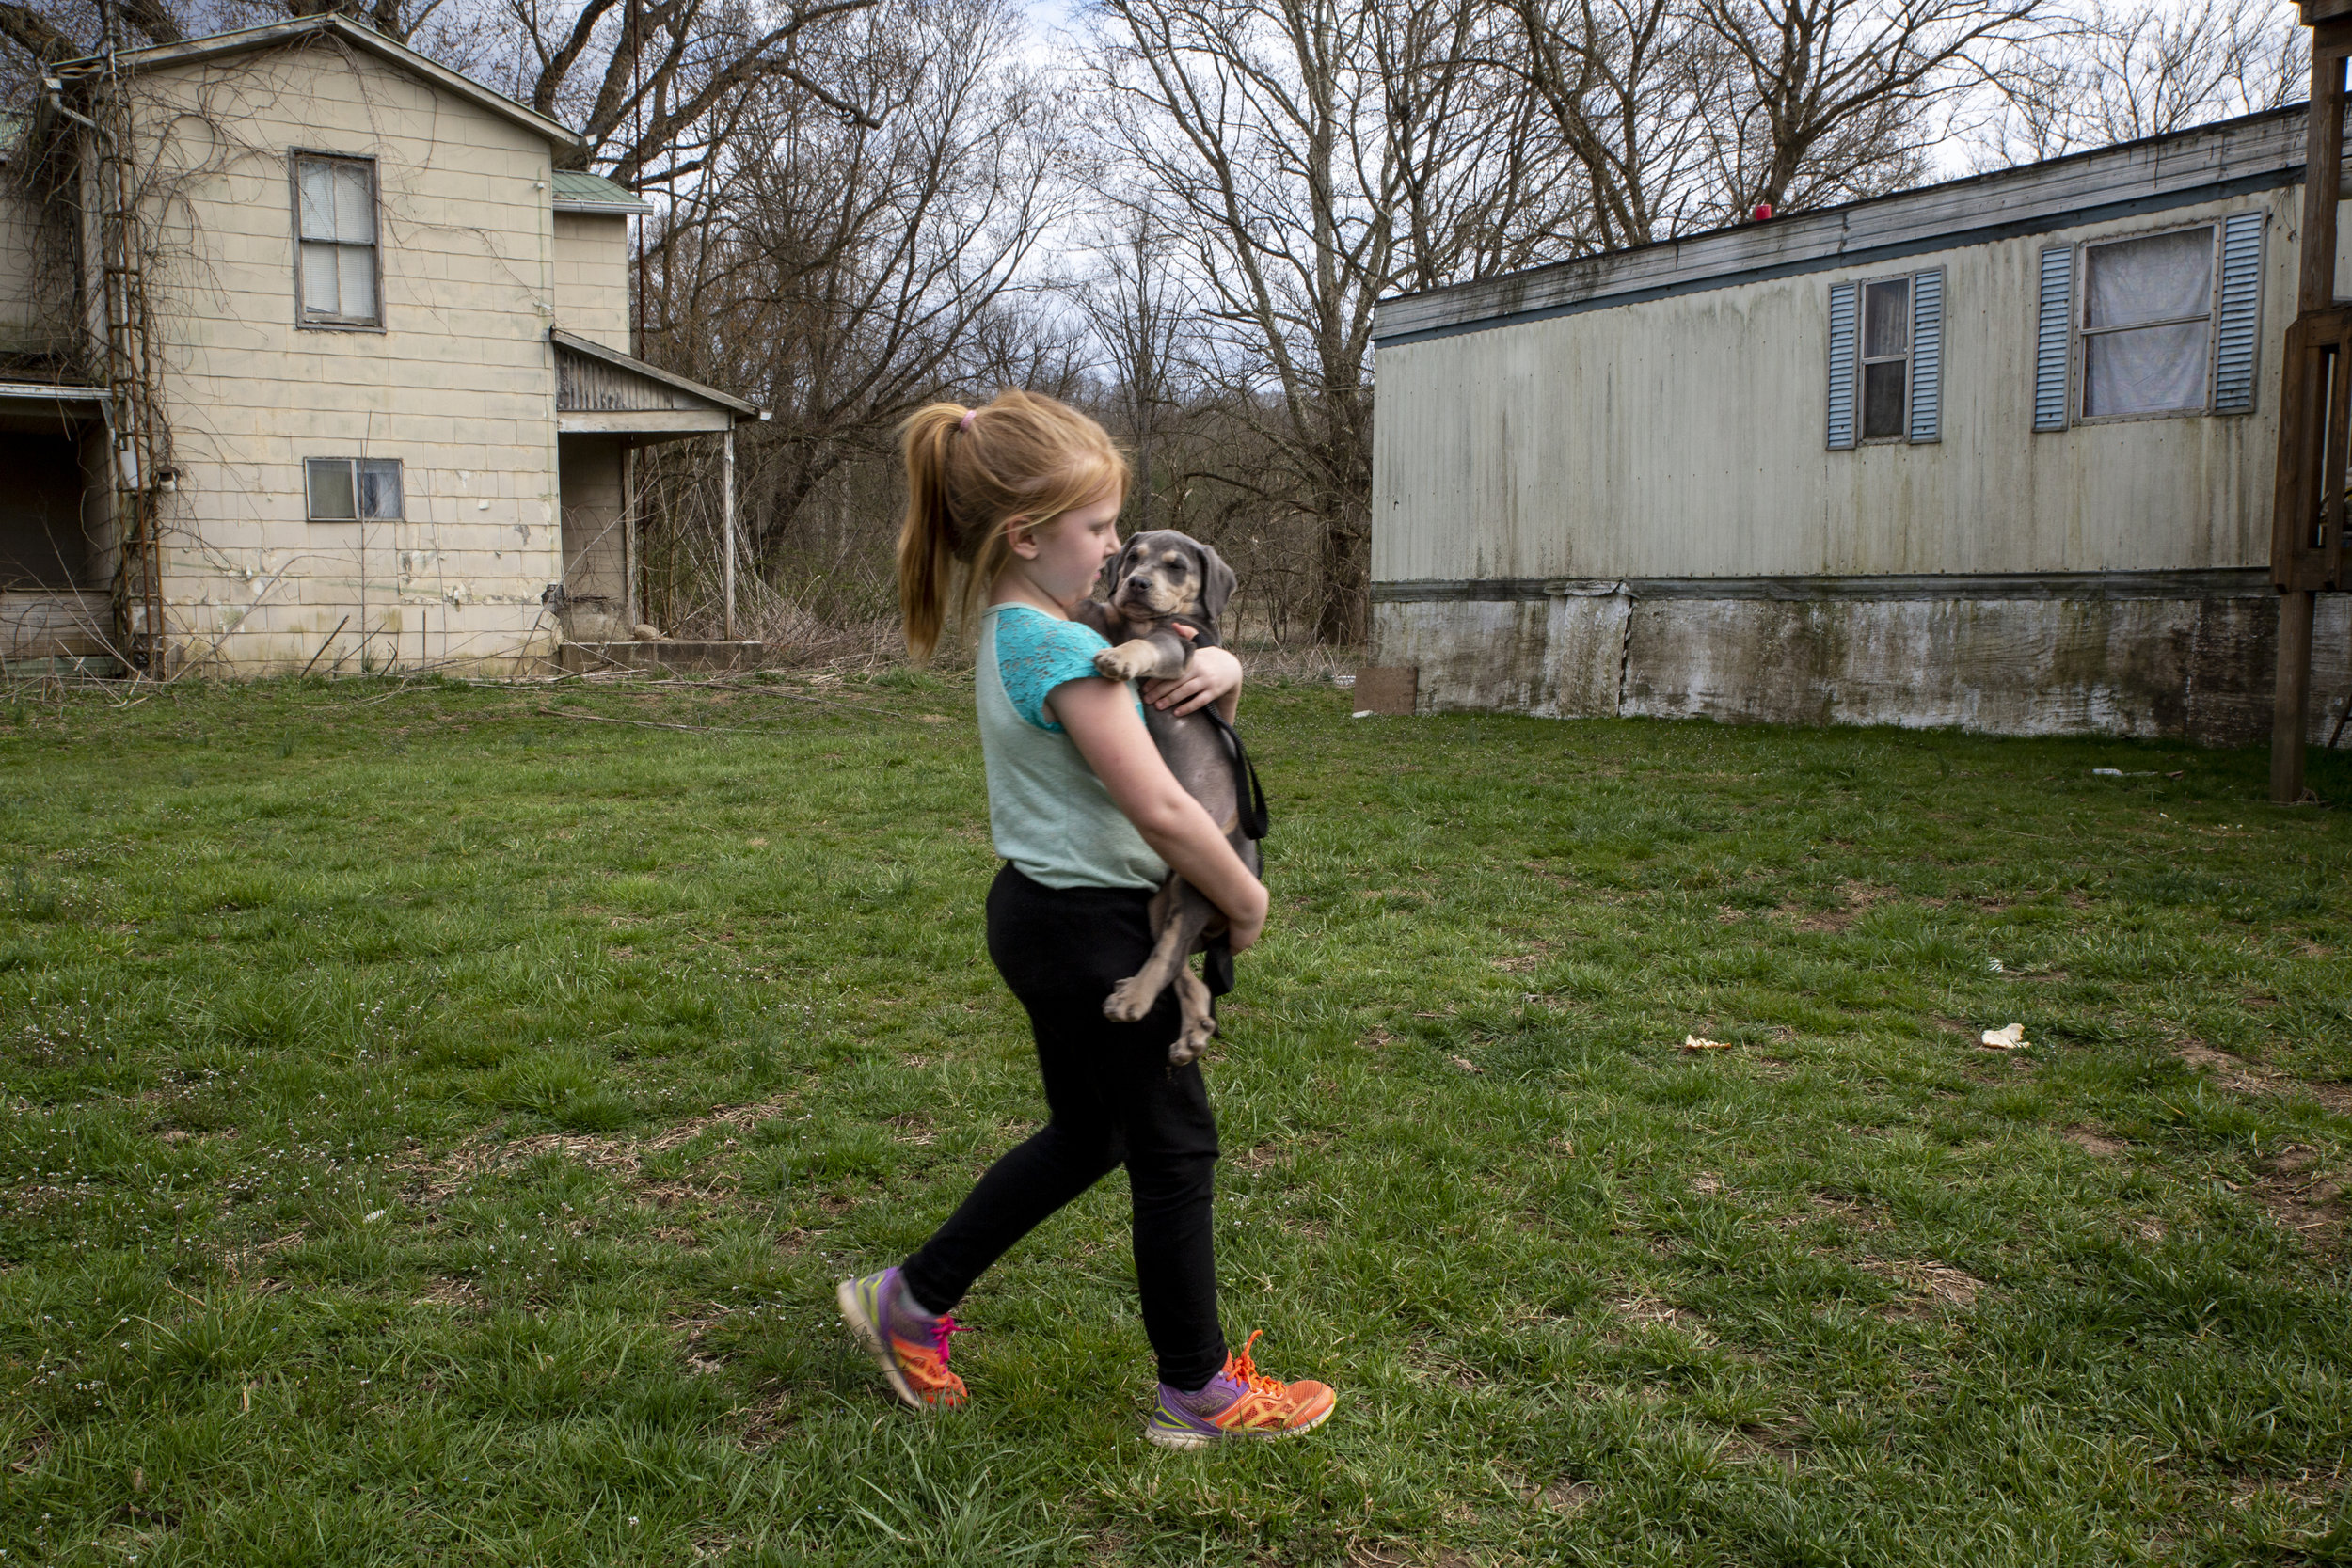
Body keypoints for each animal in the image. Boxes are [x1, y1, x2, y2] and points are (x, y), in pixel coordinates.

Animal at [1077, 531, 1270, 1067]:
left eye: (1177, 566)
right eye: (1132, 559)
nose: (1137, 584)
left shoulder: (1179, 648)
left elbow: (1145, 644)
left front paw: (1120, 659)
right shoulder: (1115, 617)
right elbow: (1098, 610)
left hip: (1195, 888)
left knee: (1169, 953)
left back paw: (1134, 1001)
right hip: (1158, 904)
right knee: (1180, 963)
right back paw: (1192, 1030)